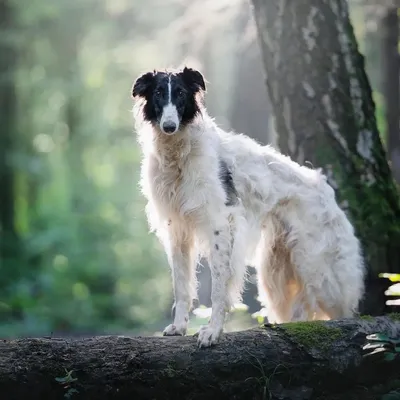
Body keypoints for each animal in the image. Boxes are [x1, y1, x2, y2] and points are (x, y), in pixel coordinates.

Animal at [131, 65, 366, 346]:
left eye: (180, 93)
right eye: (157, 93)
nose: (169, 126)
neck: (178, 156)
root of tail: (326, 190)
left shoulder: (220, 223)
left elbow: (219, 288)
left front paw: (212, 332)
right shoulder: (177, 229)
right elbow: (181, 286)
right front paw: (179, 327)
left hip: (317, 268)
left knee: (344, 311)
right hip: (277, 270)